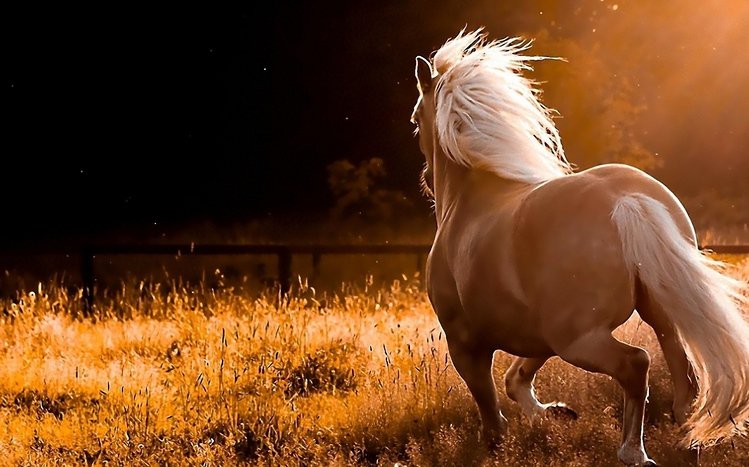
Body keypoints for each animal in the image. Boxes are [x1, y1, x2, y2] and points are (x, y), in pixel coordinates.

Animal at [411, 29, 749, 466]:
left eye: (416, 119)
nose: (425, 180)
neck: (469, 201)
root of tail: (625, 201)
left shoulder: (466, 343)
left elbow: (490, 409)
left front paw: (500, 445)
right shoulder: (537, 335)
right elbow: (515, 379)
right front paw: (556, 414)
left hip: (579, 340)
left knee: (636, 364)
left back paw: (633, 452)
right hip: (652, 316)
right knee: (684, 377)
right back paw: (686, 439)